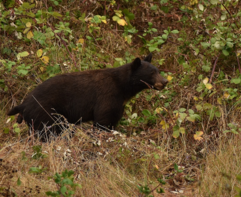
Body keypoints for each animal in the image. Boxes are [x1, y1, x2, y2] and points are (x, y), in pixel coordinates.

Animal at [7, 53, 168, 138]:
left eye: (158, 70)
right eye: (152, 73)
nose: (165, 81)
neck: (123, 87)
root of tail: (23, 103)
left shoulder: (119, 104)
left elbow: (113, 120)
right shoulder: (108, 97)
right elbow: (103, 121)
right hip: (45, 113)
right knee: (49, 132)